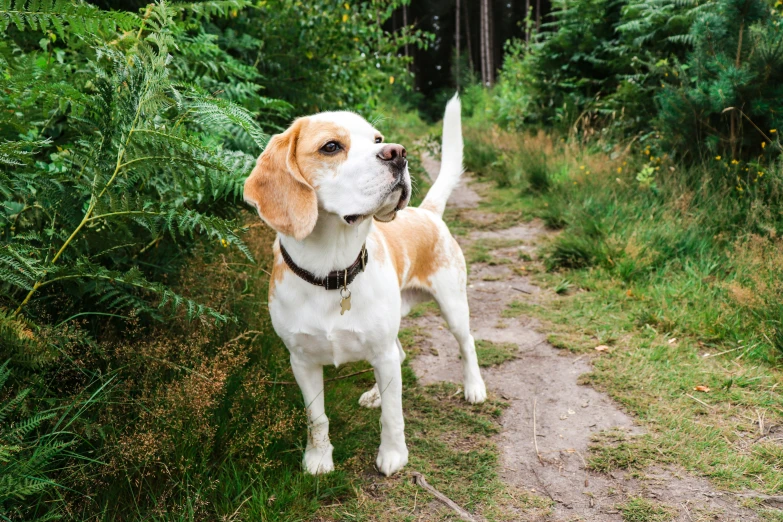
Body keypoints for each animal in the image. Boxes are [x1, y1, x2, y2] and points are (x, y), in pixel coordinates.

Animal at [243, 94, 484, 476]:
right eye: (330, 146)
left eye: (377, 139)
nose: (397, 153)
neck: (333, 272)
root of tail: (427, 212)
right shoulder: (302, 362)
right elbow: (317, 418)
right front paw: (318, 459)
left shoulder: (381, 352)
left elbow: (393, 415)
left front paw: (394, 454)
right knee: (401, 356)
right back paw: (375, 394)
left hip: (452, 306)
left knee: (466, 344)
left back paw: (474, 387)